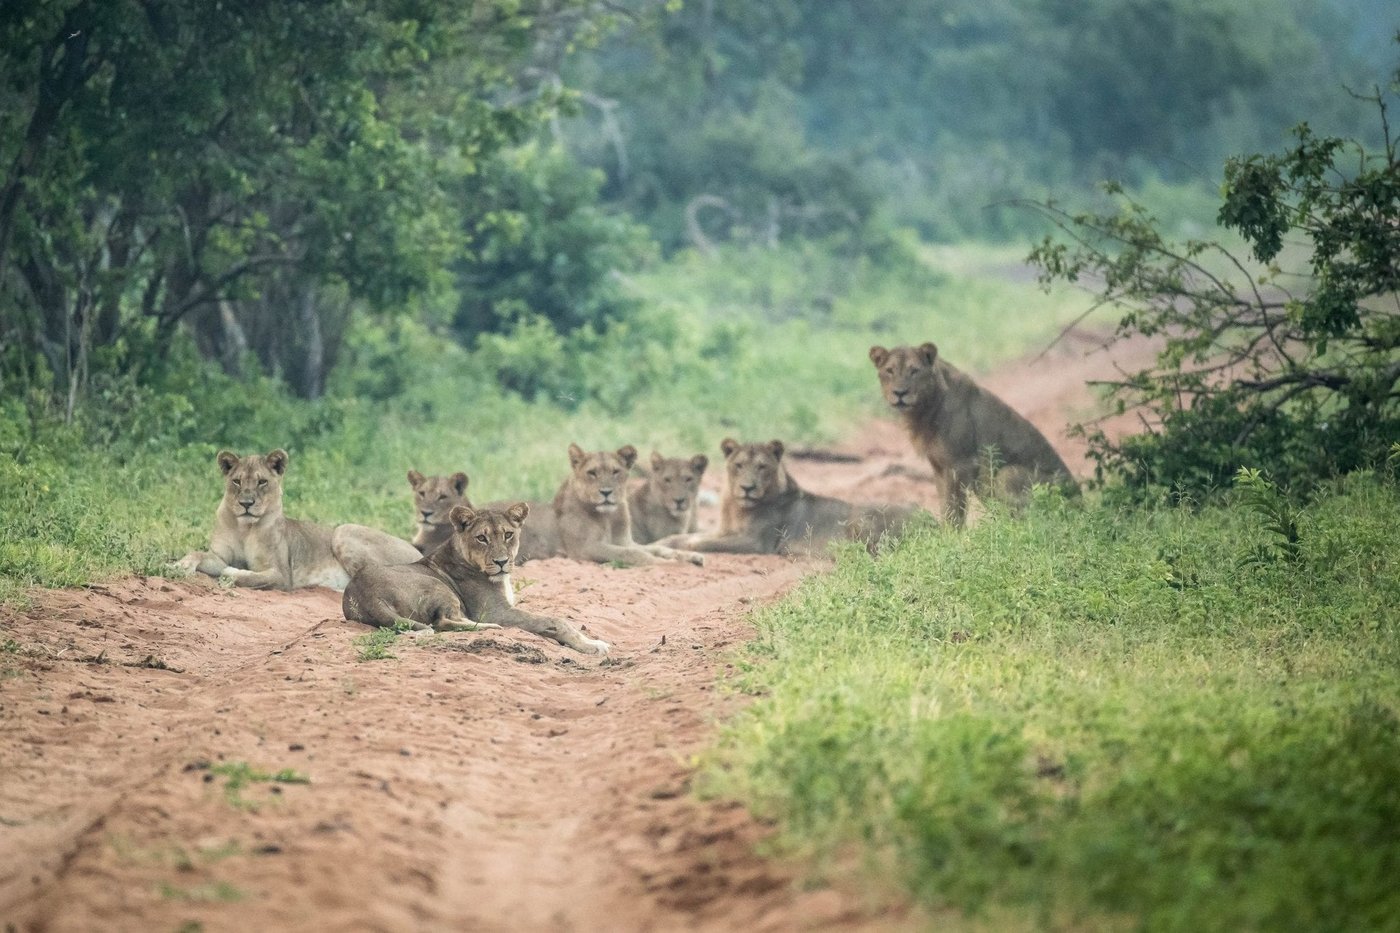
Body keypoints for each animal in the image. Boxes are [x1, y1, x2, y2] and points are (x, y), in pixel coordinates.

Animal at [173, 449, 422, 590]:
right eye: (237, 481)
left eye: (262, 482)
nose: (246, 503)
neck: (245, 527)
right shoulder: (219, 555)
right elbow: (198, 553)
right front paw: (179, 566)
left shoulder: (282, 574)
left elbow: (250, 578)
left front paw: (232, 574)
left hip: (344, 530)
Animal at [342, 503, 609, 654]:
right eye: (482, 538)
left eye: (508, 534)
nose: (501, 562)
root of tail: (361, 592)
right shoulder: (497, 611)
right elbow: (556, 620)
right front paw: (593, 645)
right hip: (437, 585)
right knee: (442, 622)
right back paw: (490, 628)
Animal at [659, 438, 916, 556]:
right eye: (739, 465)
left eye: (762, 467)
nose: (747, 488)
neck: (736, 508)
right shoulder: (724, 530)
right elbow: (684, 536)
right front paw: (661, 543)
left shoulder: (756, 542)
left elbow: (700, 542)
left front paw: (685, 549)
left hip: (860, 517)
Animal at [869, 342, 1077, 526]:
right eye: (889, 370)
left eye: (914, 371)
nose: (900, 393)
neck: (923, 411)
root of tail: (1081, 501)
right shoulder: (939, 466)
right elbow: (944, 504)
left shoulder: (960, 464)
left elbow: (955, 507)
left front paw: (952, 537)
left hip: (1008, 474)